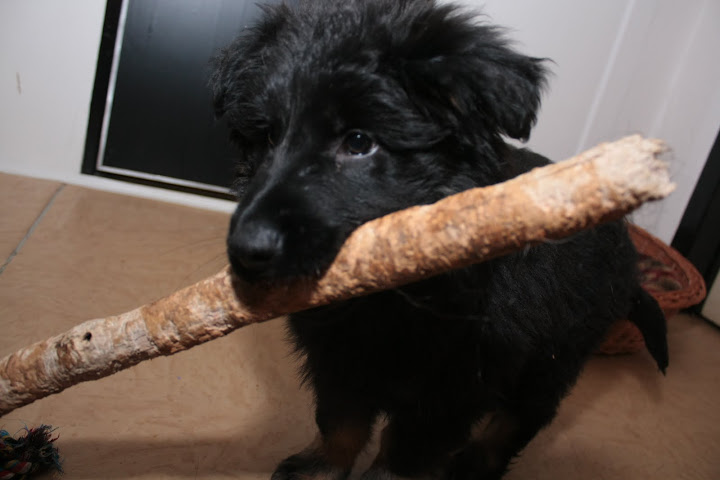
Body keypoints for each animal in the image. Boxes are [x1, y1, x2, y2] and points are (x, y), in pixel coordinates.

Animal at [210, 1, 669, 479]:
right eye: (267, 136)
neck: (393, 300)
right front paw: (320, 468)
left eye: (358, 142)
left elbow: (405, 449)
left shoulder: (453, 389)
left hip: (554, 360)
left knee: (518, 420)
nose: (246, 251)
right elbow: (340, 423)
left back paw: (476, 464)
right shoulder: (338, 360)